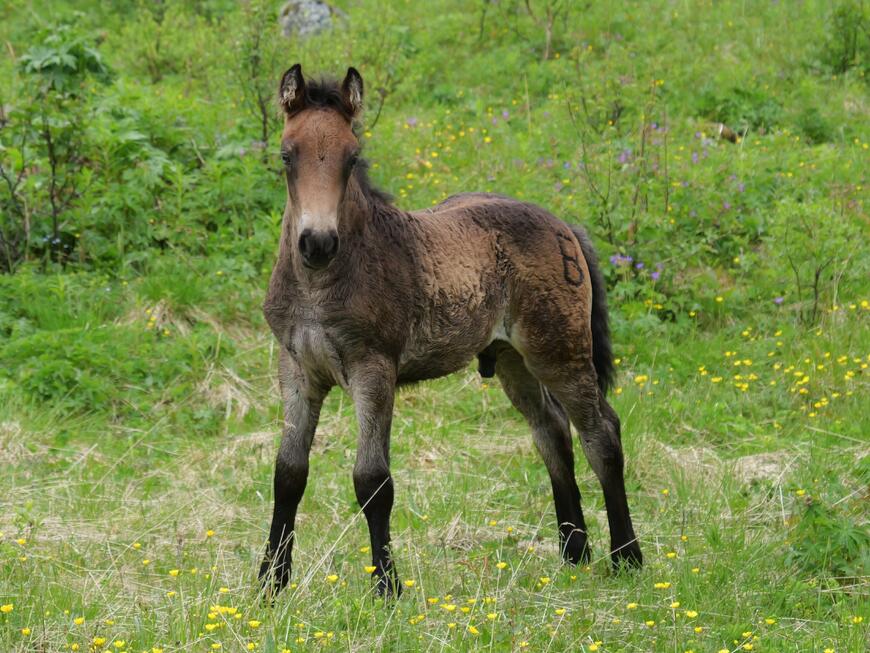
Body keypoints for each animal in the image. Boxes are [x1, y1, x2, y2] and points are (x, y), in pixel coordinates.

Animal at [258, 65, 640, 596]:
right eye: (286, 154)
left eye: (352, 157)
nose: (317, 243)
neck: (321, 282)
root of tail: (562, 224)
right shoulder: (296, 369)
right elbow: (288, 474)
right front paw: (270, 584)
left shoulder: (373, 370)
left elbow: (372, 480)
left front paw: (387, 587)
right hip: (512, 361)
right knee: (552, 433)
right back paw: (573, 551)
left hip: (559, 351)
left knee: (601, 433)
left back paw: (627, 555)